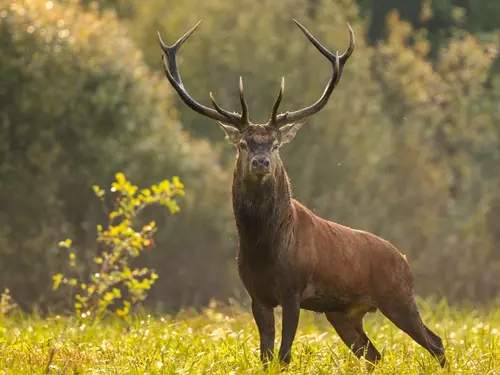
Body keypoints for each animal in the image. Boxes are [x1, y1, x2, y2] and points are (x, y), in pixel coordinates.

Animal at [158, 18, 448, 370]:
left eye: (275, 144)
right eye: (243, 144)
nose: (260, 161)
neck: (263, 246)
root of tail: (404, 259)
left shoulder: (294, 291)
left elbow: (284, 355)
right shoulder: (256, 295)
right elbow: (266, 355)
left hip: (398, 296)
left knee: (435, 342)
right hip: (343, 313)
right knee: (375, 355)